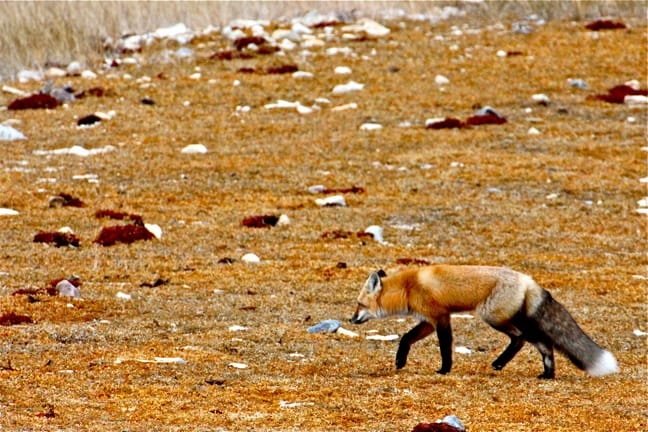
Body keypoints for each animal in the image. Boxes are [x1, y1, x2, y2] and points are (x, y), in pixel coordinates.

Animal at [350, 264, 616, 380]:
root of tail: (529, 280)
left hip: (494, 317)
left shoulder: (440, 317)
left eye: (359, 304)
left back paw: (504, 364)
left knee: (526, 340)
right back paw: (545, 373)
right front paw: (400, 361)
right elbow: (406, 338)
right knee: (540, 344)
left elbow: (445, 347)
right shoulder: (428, 320)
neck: (408, 287)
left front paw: (445, 370)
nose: (351, 319)